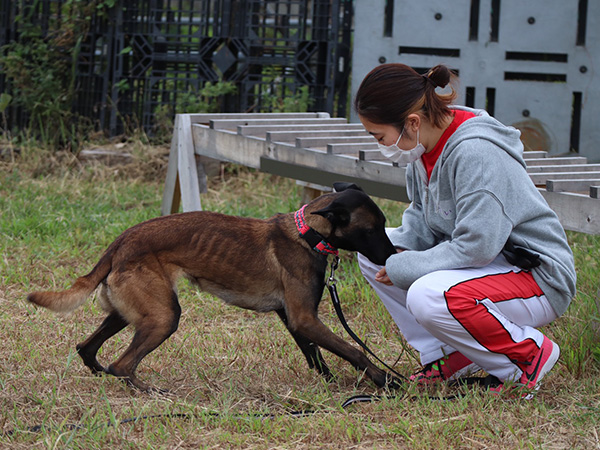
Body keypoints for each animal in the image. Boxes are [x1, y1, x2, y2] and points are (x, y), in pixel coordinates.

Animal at [28, 181, 396, 392]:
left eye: (383, 224)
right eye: (373, 229)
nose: (393, 256)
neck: (308, 233)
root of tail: (120, 242)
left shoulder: (293, 318)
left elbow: (314, 354)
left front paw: (331, 384)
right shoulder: (305, 318)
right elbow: (353, 349)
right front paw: (385, 379)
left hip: (131, 312)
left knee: (87, 348)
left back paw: (103, 376)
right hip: (164, 316)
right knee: (122, 365)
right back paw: (150, 392)